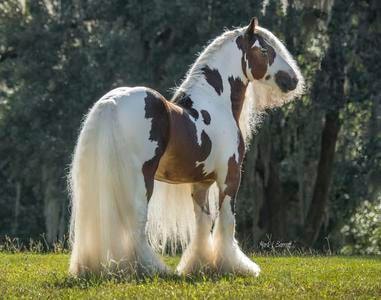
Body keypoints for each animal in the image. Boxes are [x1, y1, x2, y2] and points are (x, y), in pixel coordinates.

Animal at [69, 17, 302, 278]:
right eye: (264, 50)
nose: (293, 80)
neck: (215, 103)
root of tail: (112, 103)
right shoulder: (229, 177)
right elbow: (226, 221)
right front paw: (235, 266)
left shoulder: (200, 183)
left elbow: (203, 223)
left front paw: (199, 264)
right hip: (141, 180)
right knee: (137, 224)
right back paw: (150, 268)